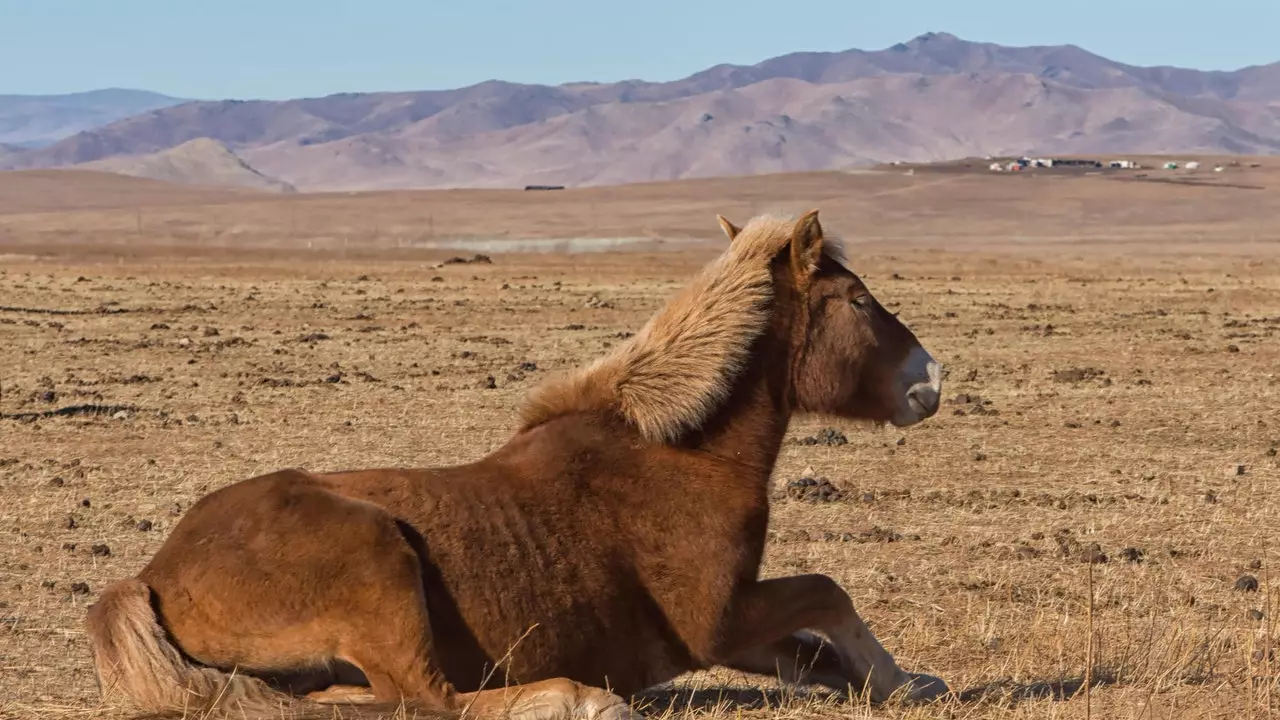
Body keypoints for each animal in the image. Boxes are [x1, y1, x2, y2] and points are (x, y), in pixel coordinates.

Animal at [85, 208, 947, 717]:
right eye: (859, 302)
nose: (931, 380)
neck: (679, 454)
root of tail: (151, 575)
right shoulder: (719, 619)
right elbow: (828, 593)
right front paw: (900, 679)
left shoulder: (732, 633)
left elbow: (812, 652)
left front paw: (901, 681)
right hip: (379, 559)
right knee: (432, 698)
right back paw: (580, 699)